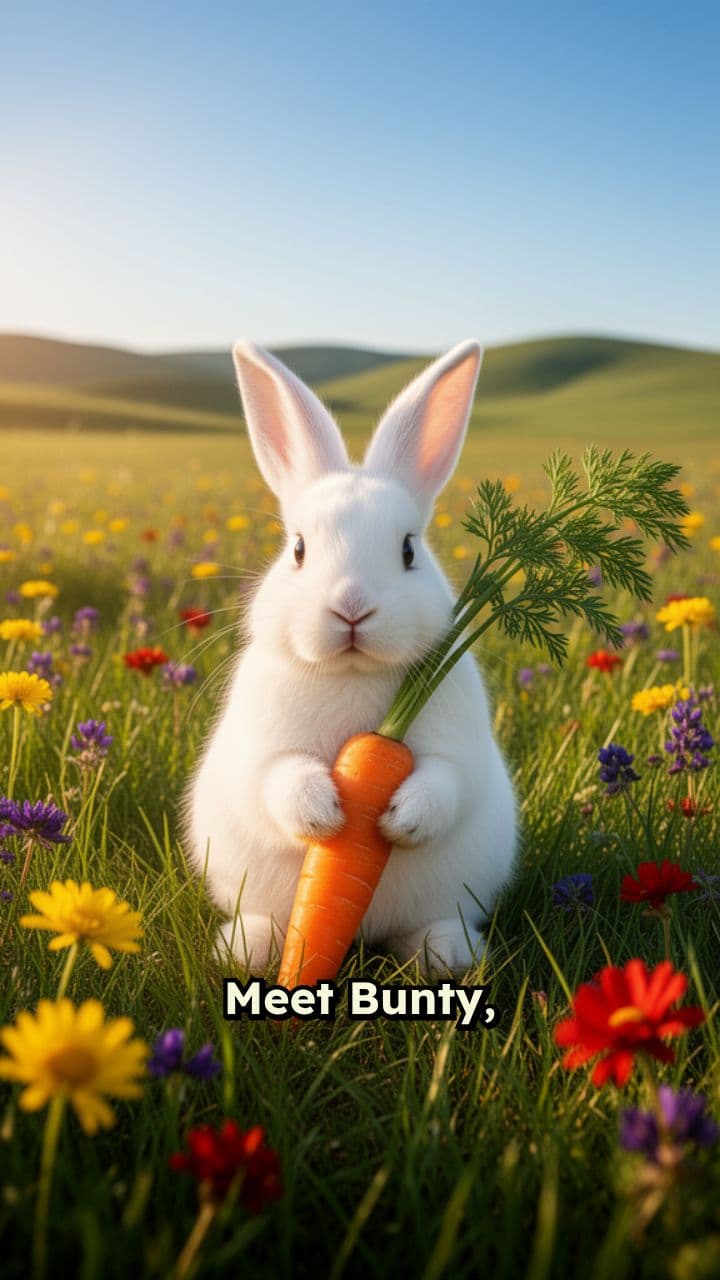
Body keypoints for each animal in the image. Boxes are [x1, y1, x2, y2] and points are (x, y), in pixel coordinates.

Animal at [185, 338, 517, 979]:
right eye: (297, 549)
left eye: (409, 550)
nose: (352, 607)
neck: (353, 672)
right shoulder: (263, 749)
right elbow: (278, 778)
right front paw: (326, 815)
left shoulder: (459, 749)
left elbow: (446, 782)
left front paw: (399, 818)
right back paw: (248, 949)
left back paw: (447, 956)